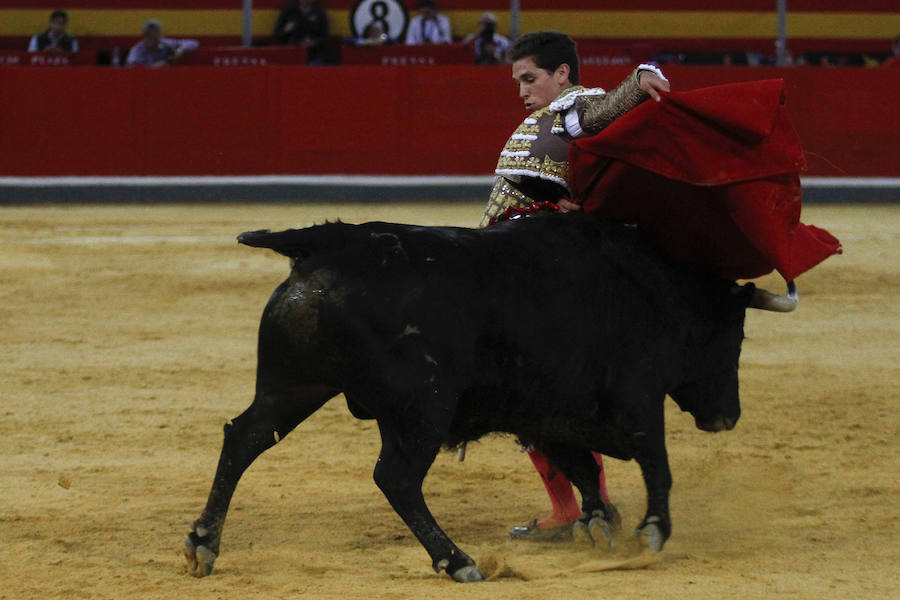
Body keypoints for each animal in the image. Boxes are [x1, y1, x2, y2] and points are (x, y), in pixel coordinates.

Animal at [181, 214, 780, 580]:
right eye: (735, 335)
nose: (728, 416)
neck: (655, 290)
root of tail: (330, 242)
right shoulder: (635, 400)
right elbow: (655, 461)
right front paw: (651, 531)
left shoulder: (546, 410)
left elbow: (582, 465)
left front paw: (598, 523)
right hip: (423, 407)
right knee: (396, 477)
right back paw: (456, 561)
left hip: (296, 385)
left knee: (245, 437)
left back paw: (203, 543)